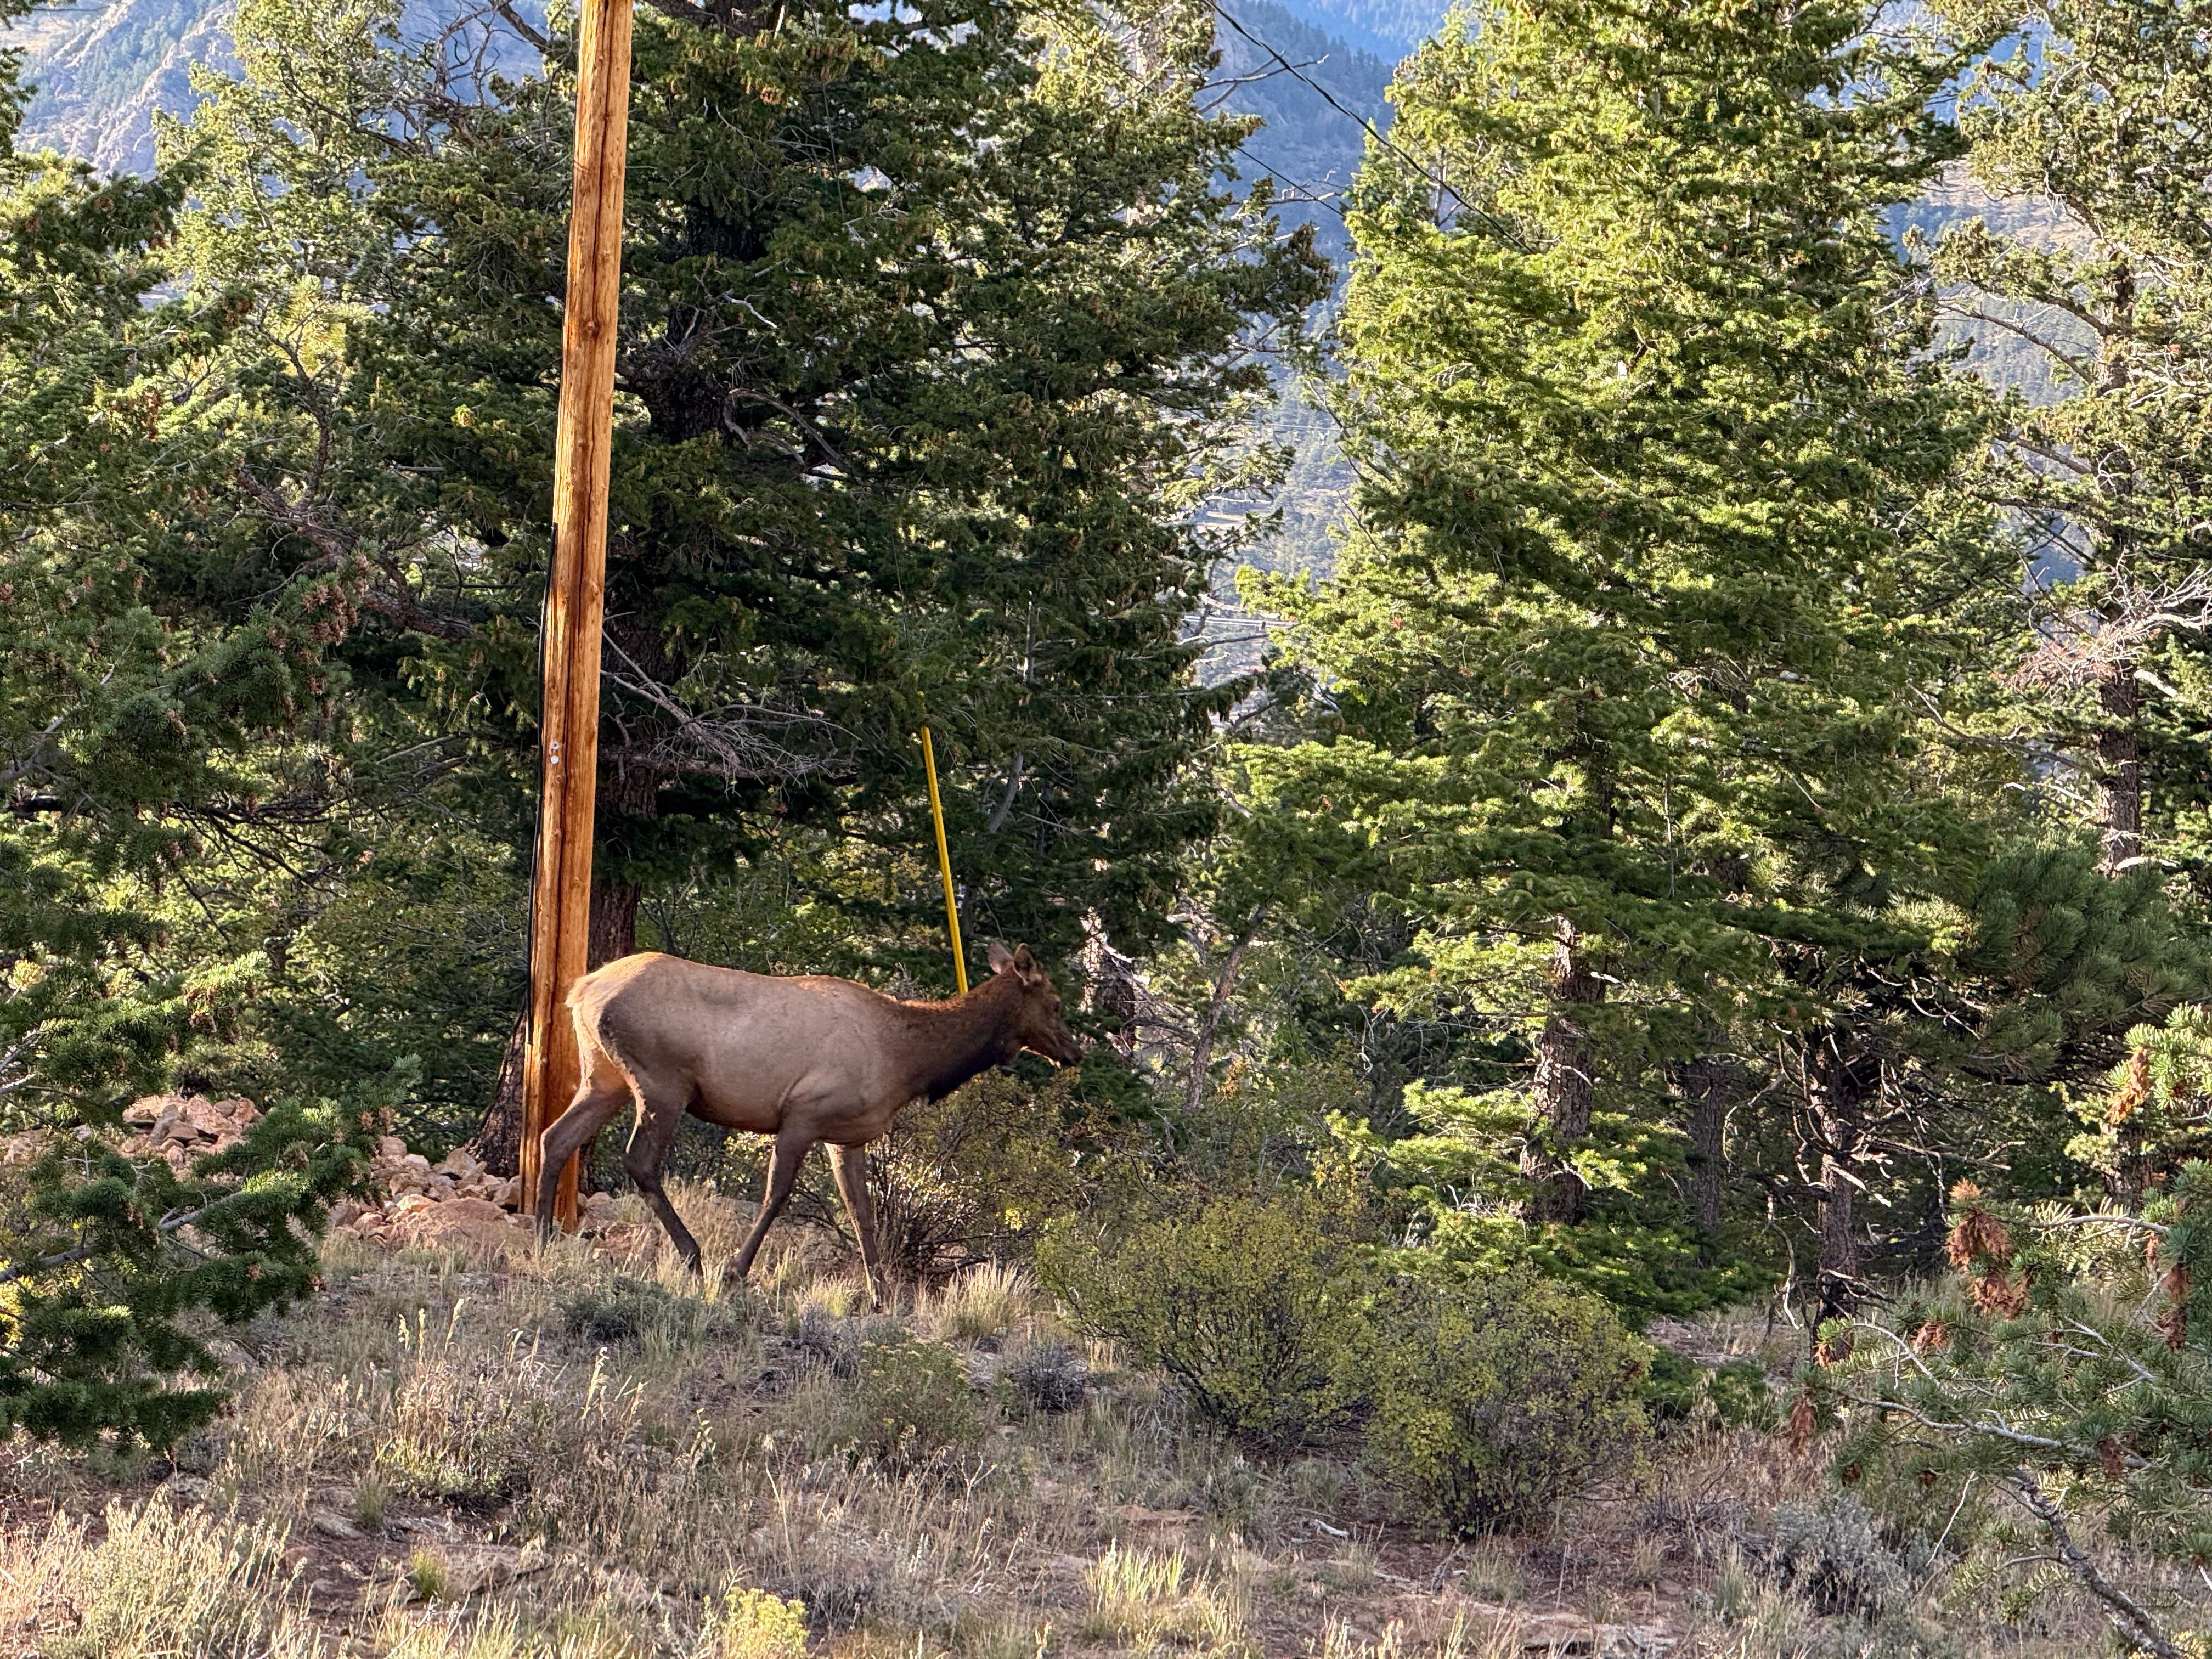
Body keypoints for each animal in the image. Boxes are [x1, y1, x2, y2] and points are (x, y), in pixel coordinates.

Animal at [532, 941, 1081, 1300]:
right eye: (1056, 1003)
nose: (1075, 1052)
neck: (909, 1061)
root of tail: (581, 989)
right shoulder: (802, 1113)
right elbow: (777, 1195)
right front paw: (737, 1271)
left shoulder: (847, 1135)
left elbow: (862, 1212)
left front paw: (882, 1295)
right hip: (662, 1082)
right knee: (639, 1162)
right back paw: (693, 1254)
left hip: (604, 1077)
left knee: (555, 1137)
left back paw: (542, 1232)